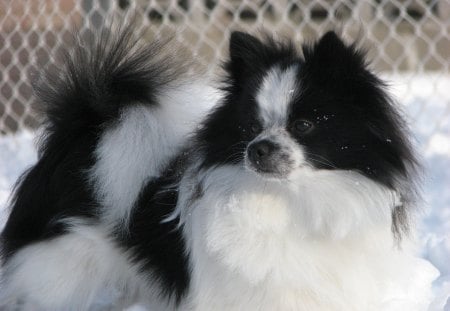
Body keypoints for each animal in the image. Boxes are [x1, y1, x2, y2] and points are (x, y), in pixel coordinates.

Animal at [0, 23, 436, 310]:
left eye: (304, 125)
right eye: (251, 127)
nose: (258, 149)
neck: (295, 201)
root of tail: (86, 128)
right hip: (60, 274)